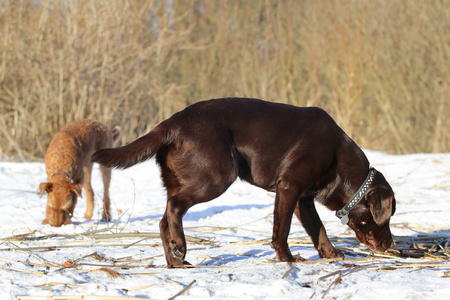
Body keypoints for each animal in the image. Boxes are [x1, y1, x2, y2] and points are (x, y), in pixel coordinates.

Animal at [93, 98, 396, 268]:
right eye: (389, 216)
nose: (391, 243)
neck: (337, 158)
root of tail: (174, 121)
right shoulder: (289, 187)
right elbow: (282, 230)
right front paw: (287, 259)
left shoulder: (303, 199)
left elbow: (318, 229)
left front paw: (331, 253)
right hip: (215, 176)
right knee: (174, 209)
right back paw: (180, 246)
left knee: (163, 220)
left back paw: (177, 261)